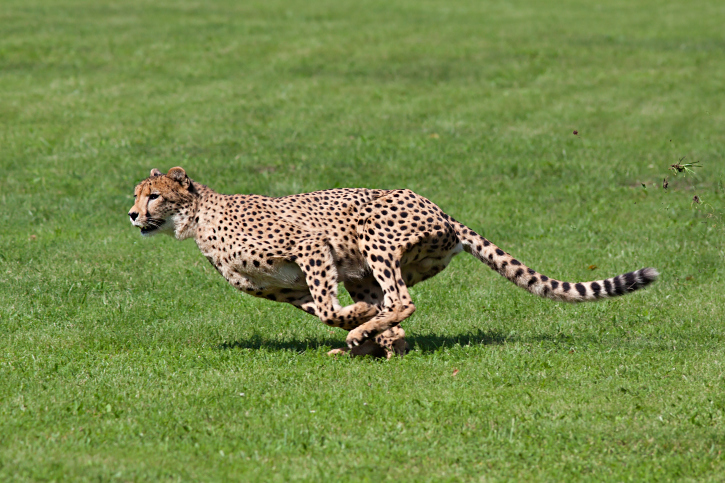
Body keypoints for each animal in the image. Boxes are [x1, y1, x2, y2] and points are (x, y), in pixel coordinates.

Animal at [129, 168, 656, 358]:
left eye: (153, 195)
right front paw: (364, 330)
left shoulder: (311, 246)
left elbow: (329, 308)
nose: (132, 214)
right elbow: (323, 310)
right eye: (137, 195)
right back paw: (377, 342)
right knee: (391, 308)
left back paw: (371, 334)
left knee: (402, 301)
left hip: (373, 238)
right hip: (365, 268)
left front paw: (360, 325)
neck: (198, 217)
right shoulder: (288, 288)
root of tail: (442, 209)